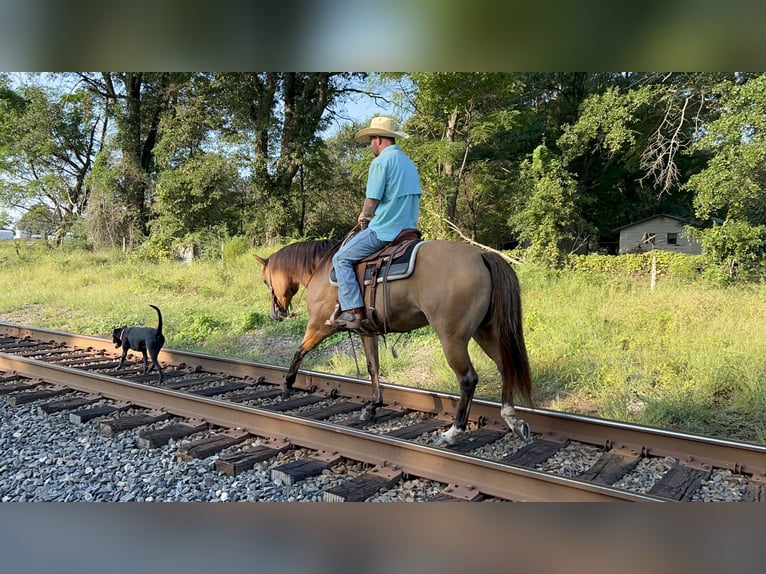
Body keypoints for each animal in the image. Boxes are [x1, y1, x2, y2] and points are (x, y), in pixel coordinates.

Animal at [256, 236, 536, 448]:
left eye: (265, 280)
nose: (275, 313)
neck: (323, 269)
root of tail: (481, 256)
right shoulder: (366, 332)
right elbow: (373, 367)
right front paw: (372, 406)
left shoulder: (319, 326)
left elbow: (299, 352)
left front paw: (287, 385)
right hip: (485, 331)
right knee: (505, 366)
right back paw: (513, 420)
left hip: (452, 338)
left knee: (468, 379)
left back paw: (452, 432)